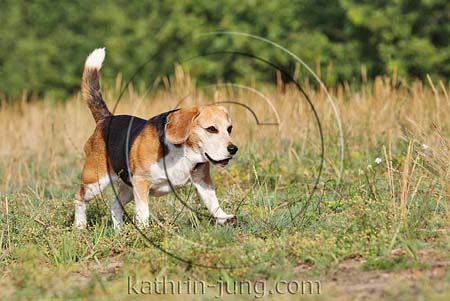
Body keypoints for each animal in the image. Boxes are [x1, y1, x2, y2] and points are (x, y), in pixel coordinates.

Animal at [74, 48, 239, 229]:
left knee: (115, 206)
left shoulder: (203, 180)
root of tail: (106, 119)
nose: (233, 149)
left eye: (229, 129)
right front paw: (145, 230)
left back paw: (120, 231)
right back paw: (80, 226)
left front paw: (224, 217)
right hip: (96, 181)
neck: (183, 152)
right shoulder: (141, 183)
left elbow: (212, 202)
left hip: (127, 187)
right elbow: (143, 212)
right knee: (79, 198)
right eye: (211, 129)